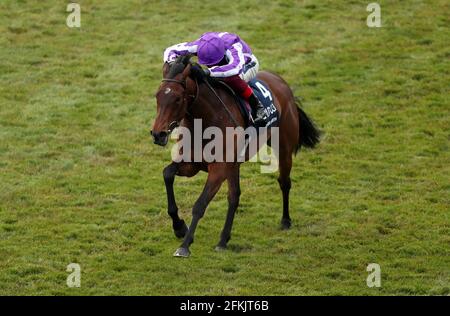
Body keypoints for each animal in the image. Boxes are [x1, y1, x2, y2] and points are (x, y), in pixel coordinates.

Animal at [151, 54, 320, 256]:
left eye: (177, 98)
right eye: (158, 96)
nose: (158, 134)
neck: (206, 120)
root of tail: (281, 81)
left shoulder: (219, 168)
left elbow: (200, 204)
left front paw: (184, 245)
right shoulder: (192, 163)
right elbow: (167, 174)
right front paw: (179, 227)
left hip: (284, 148)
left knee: (284, 182)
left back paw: (286, 221)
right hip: (234, 165)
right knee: (234, 196)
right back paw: (223, 240)